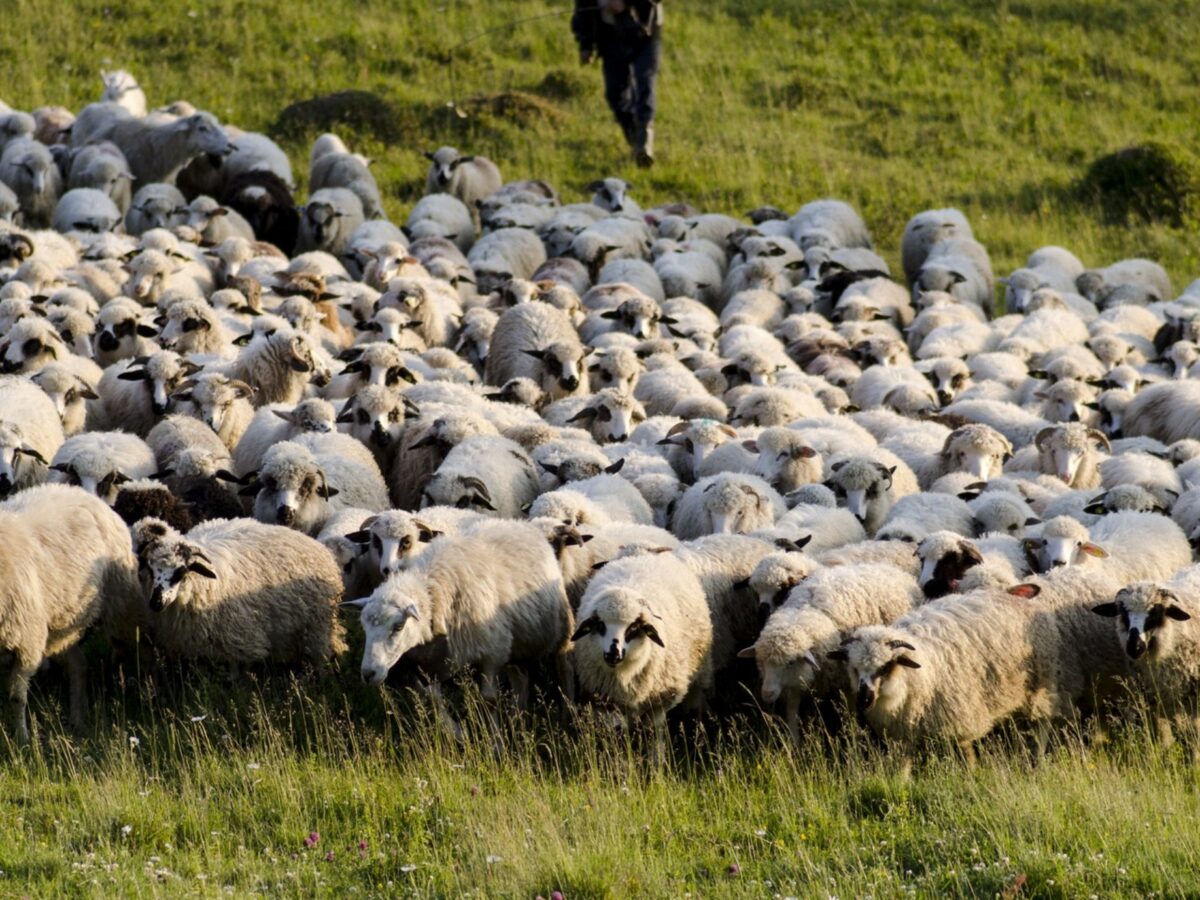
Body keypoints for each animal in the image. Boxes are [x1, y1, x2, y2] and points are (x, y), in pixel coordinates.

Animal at [0, 487, 140, 739]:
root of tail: (82, 492)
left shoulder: (26, 644)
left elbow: (16, 698)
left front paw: (22, 739)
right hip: (63, 626)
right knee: (78, 664)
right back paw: (77, 719)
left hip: (118, 605)